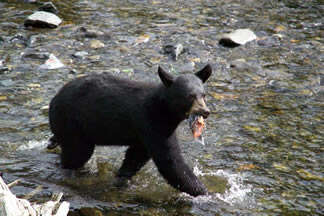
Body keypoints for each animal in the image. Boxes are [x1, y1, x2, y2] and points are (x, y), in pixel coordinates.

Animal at [48, 63, 213, 196]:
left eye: (204, 95)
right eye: (190, 96)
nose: (205, 111)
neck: (165, 109)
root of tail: (54, 99)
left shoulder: (144, 134)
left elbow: (136, 156)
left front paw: (122, 177)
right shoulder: (153, 123)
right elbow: (170, 161)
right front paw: (204, 193)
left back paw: (53, 143)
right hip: (72, 124)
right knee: (77, 154)